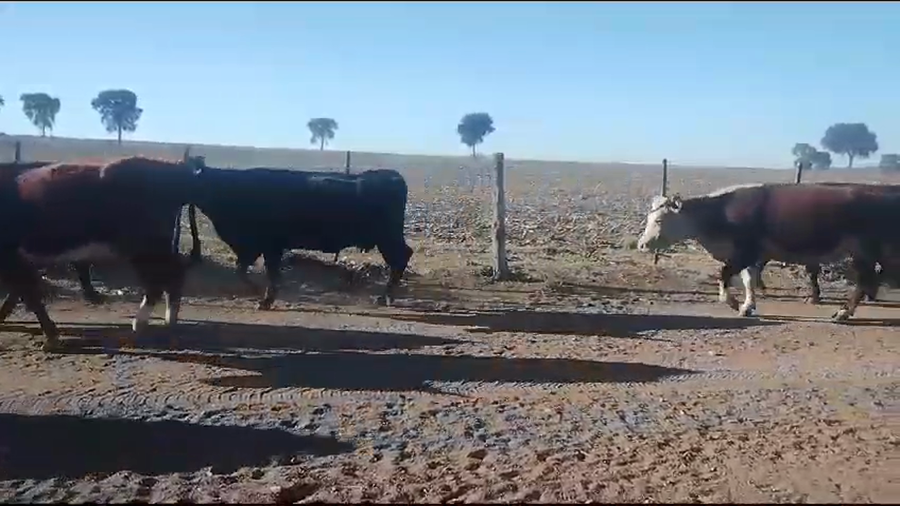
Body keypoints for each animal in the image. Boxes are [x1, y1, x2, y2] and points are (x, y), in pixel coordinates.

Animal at [0, 156, 203, 351]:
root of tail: (175, 167)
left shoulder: (11, 257)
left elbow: (29, 294)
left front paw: (51, 338)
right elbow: (20, 292)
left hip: (145, 248)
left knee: (162, 280)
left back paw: (142, 322)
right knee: (172, 275)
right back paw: (168, 318)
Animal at [187, 165, 413, 310]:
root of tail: (393, 176)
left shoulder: (269, 246)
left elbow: (269, 273)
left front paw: (266, 299)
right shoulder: (253, 247)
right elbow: (241, 270)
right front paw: (260, 294)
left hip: (388, 238)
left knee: (400, 259)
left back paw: (385, 297)